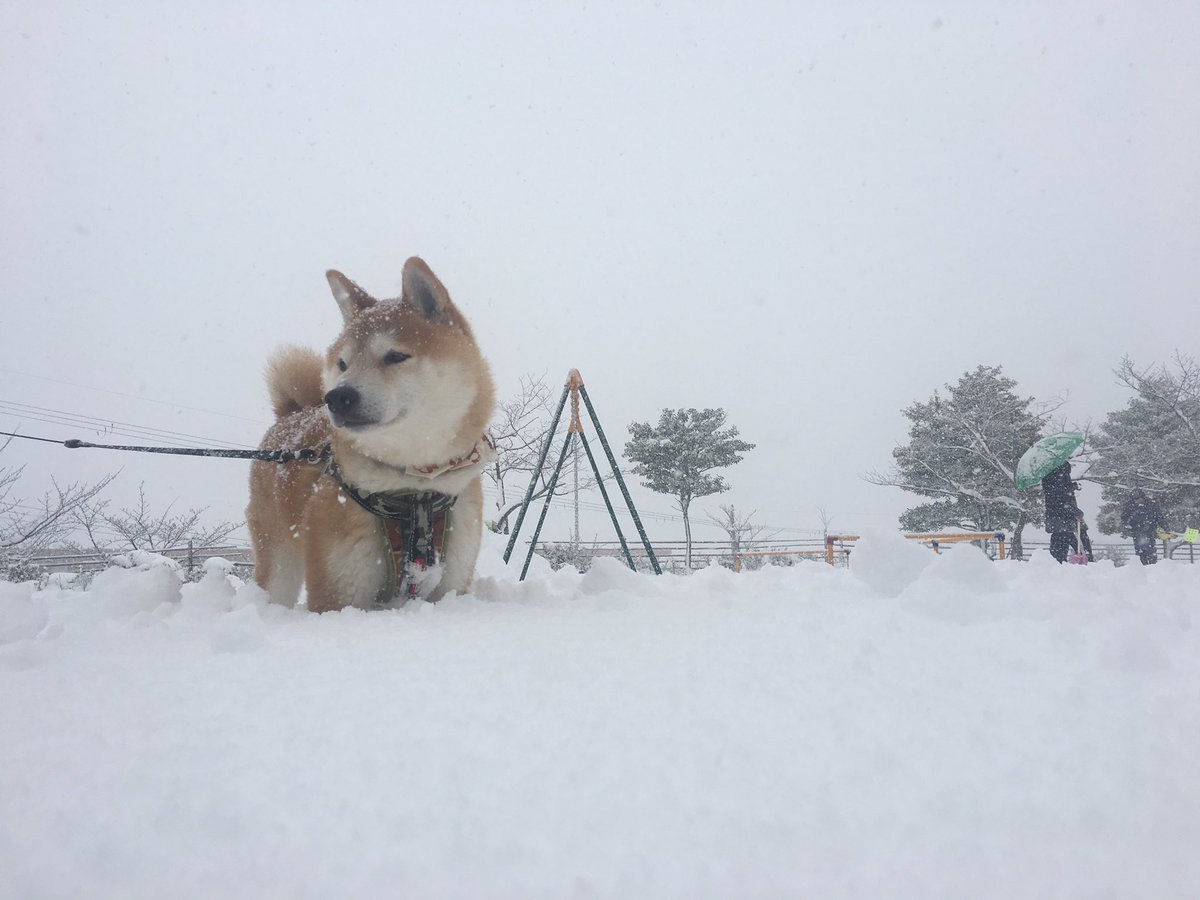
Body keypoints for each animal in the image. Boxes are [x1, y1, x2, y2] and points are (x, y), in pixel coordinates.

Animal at [246, 257, 496, 611]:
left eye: (395, 356)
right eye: (343, 363)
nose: (337, 397)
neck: (414, 489)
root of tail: (292, 412)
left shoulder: (450, 587)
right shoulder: (336, 595)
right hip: (278, 558)